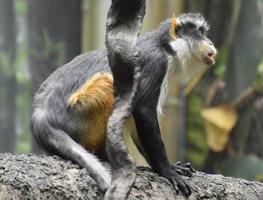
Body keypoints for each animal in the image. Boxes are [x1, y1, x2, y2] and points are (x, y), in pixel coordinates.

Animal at [31, 11, 218, 196]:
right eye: (200, 32)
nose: (210, 42)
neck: (166, 47)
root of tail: (42, 118)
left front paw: (171, 167)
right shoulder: (155, 64)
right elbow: (143, 111)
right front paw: (167, 171)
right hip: (79, 118)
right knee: (110, 82)